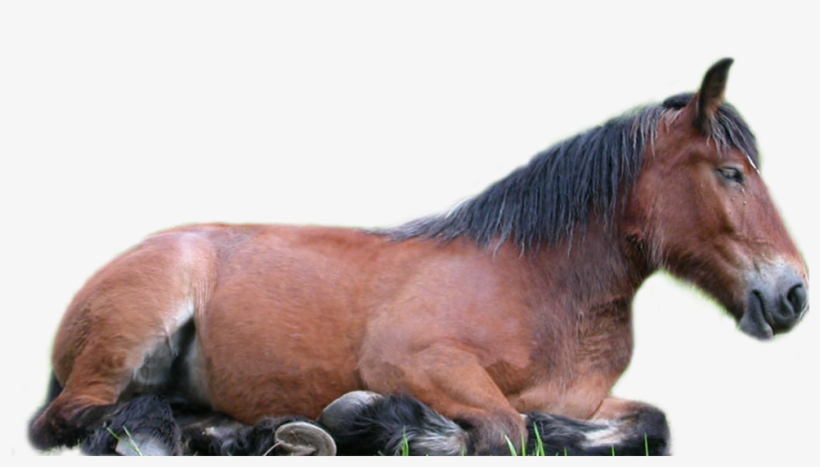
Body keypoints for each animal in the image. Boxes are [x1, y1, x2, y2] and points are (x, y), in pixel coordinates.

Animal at [29, 58, 809, 455]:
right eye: (732, 173)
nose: (794, 293)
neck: (537, 284)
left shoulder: (589, 398)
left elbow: (649, 419)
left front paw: (559, 430)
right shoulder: (412, 361)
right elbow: (501, 429)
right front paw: (388, 423)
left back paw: (254, 431)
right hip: (133, 331)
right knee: (72, 418)